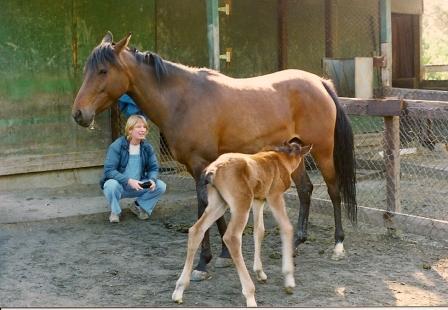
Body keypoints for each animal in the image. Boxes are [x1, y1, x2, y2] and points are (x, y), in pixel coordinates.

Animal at [71, 32, 356, 280]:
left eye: (103, 71)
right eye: (86, 70)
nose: (79, 114)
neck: (183, 100)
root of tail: (319, 82)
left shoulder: (200, 166)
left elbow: (204, 208)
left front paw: (201, 263)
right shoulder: (204, 168)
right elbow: (216, 211)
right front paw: (223, 254)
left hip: (322, 151)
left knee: (333, 190)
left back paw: (338, 246)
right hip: (294, 153)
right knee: (306, 189)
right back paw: (295, 243)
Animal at [172, 140, 312, 308]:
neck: (280, 159)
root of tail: (213, 170)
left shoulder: (259, 200)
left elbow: (259, 231)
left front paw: (260, 272)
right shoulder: (274, 196)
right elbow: (287, 228)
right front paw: (289, 281)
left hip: (218, 203)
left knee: (196, 230)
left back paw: (179, 291)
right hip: (241, 203)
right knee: (232, 237)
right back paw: (250, 295)